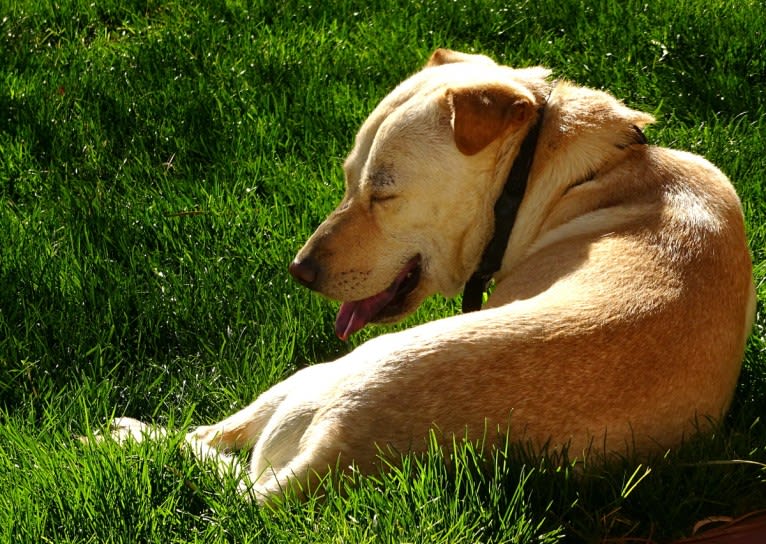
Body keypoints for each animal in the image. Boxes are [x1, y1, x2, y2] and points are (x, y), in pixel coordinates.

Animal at [105, 49, 760, 504]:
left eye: (383, 193)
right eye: (348, 178)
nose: (299, 271)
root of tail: (334, 453)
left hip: (317, 375)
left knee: (201, 441)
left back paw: (120, 435)